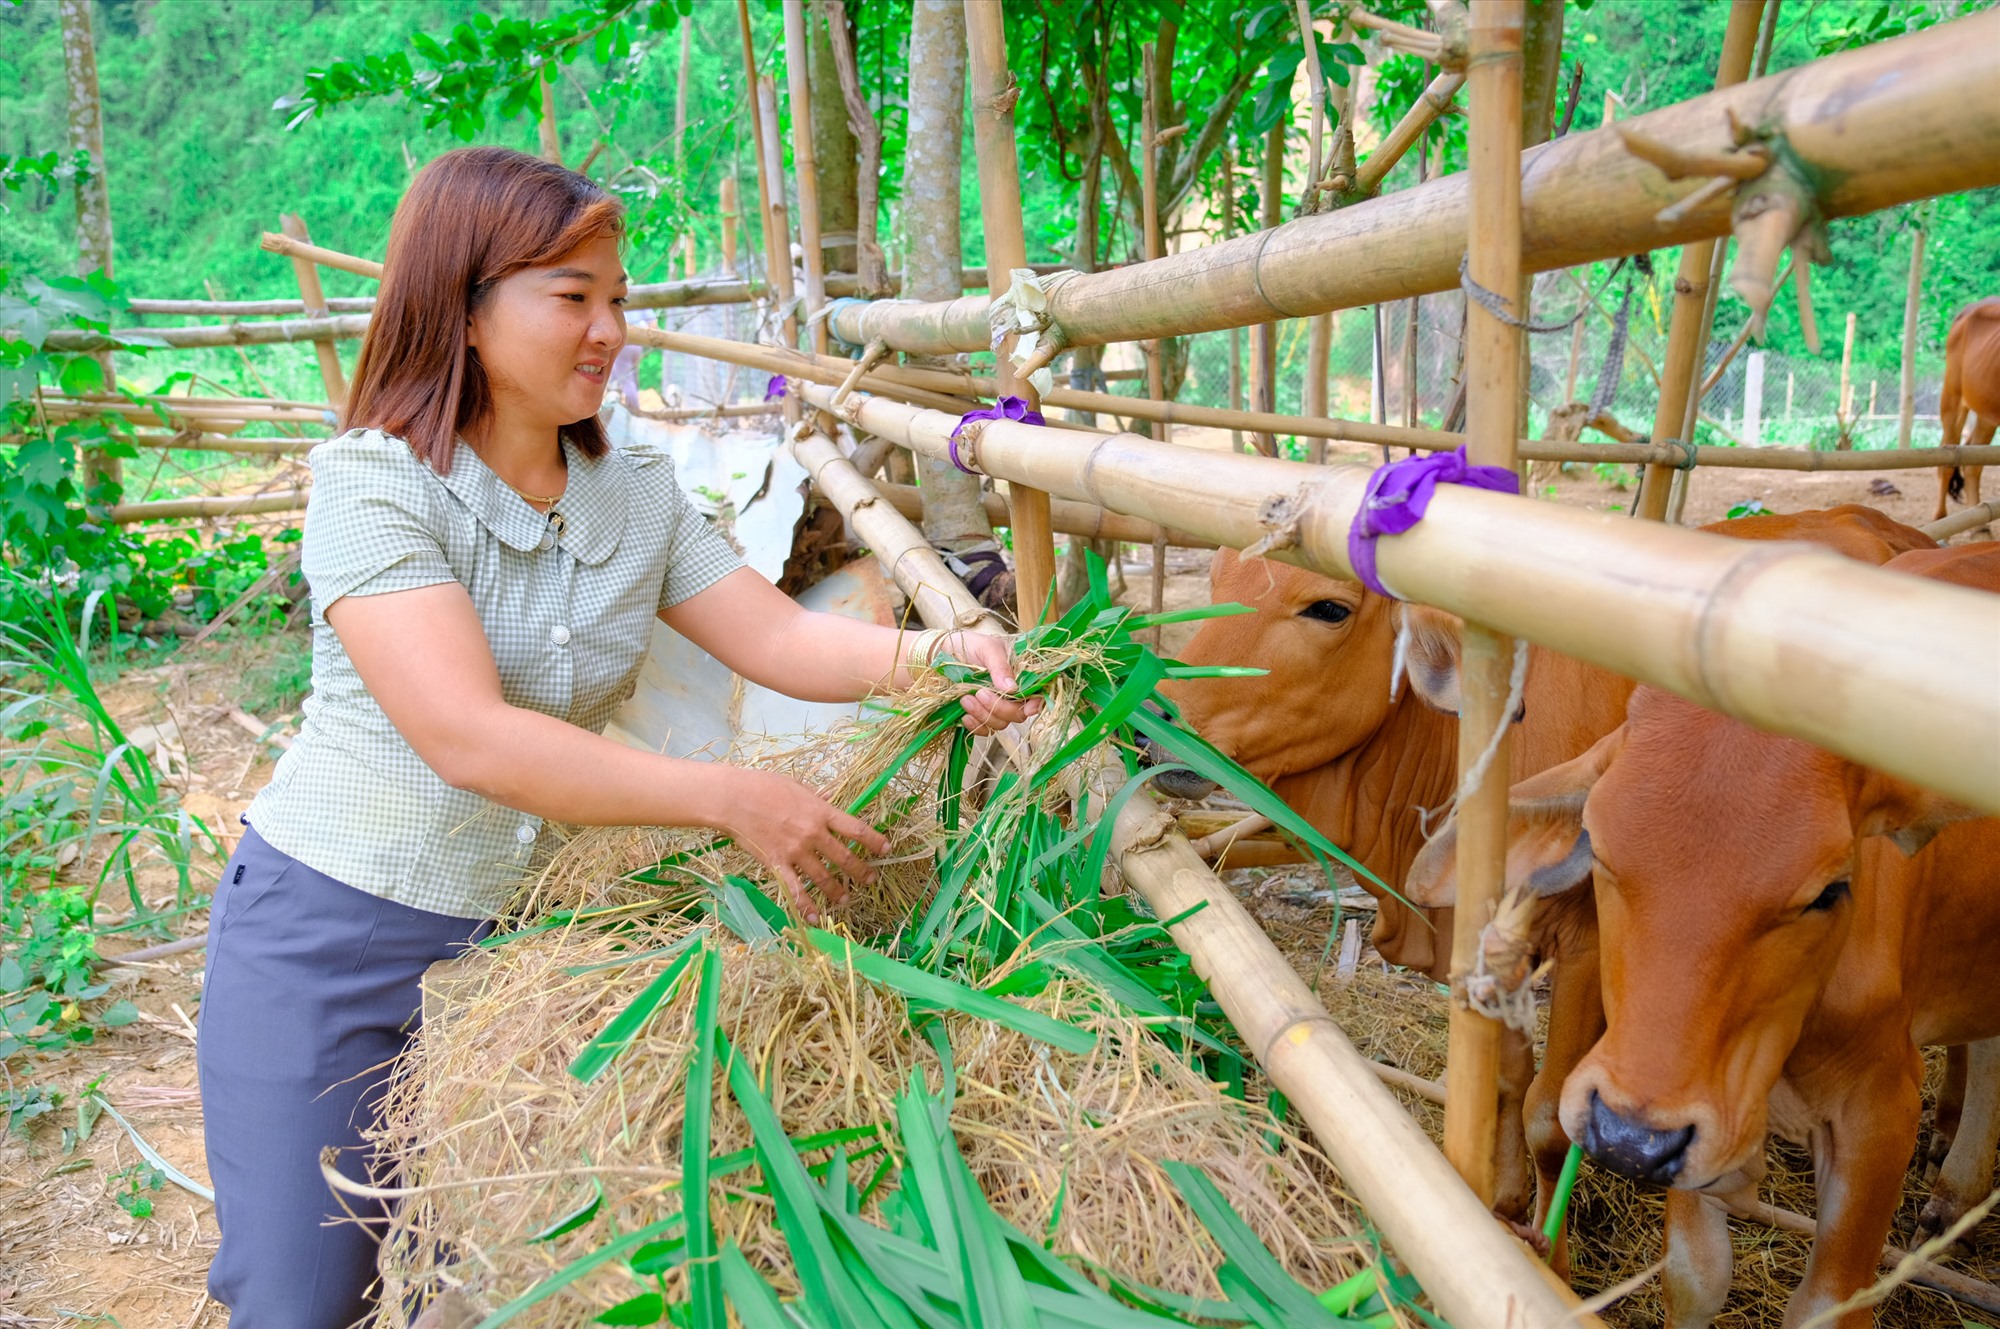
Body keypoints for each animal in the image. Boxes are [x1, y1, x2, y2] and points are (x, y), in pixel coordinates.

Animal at [1168, 504, 1928, 1232]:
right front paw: (1503, 1198)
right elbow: (1507, 1075)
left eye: (1328, 608)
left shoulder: (1590, 943)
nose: (1157, 716)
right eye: (1216, 578)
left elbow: (1547, 1114)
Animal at [1408, 544, 2000, 1329]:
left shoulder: (1881, 1110)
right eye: (1598, 850)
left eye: (1829, 890)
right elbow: (1694, 1273)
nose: (1629, 1137)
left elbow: (1826, 1304)